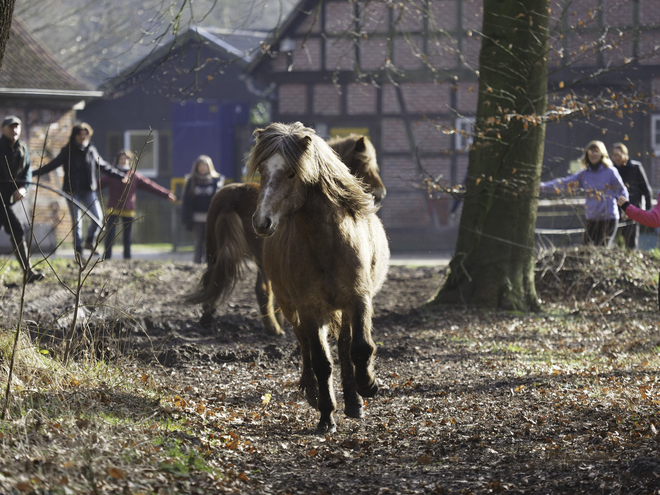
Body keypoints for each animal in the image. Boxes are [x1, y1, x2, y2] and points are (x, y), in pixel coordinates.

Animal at [186, 134, 384, 336]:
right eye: (367, 165)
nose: (380, 193)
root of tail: (232, 199)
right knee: (262, 289)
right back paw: (273, 328)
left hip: (212, 250)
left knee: (211, 280)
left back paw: (207, 319)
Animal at [250, 123, 390, 434]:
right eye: (263, 171)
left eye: (292, 173)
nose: (262, 222)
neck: (328, 243)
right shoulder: (310, 308)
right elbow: (321, 361)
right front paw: (326, 414)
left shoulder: (358, 299)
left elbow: (359, 348)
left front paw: (368, 386)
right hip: (291, 307)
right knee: (304, 343)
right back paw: (313, 393)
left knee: (346, 346)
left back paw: (354, 401)